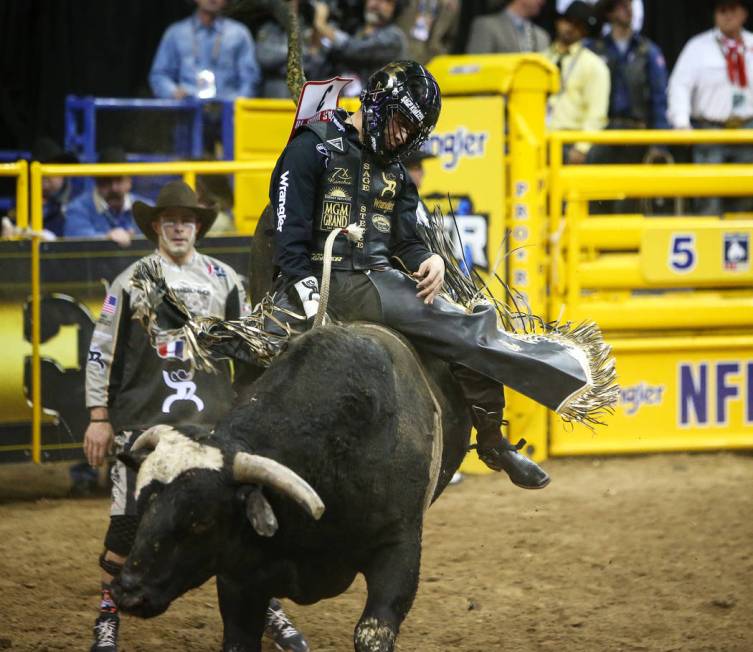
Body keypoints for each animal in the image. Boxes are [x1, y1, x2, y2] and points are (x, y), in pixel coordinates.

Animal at [111, 206, 476, 648]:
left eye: (201, 521)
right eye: (145, 504)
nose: (128, 590)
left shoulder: (400, 546)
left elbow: (372, 632)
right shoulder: (238, 577)